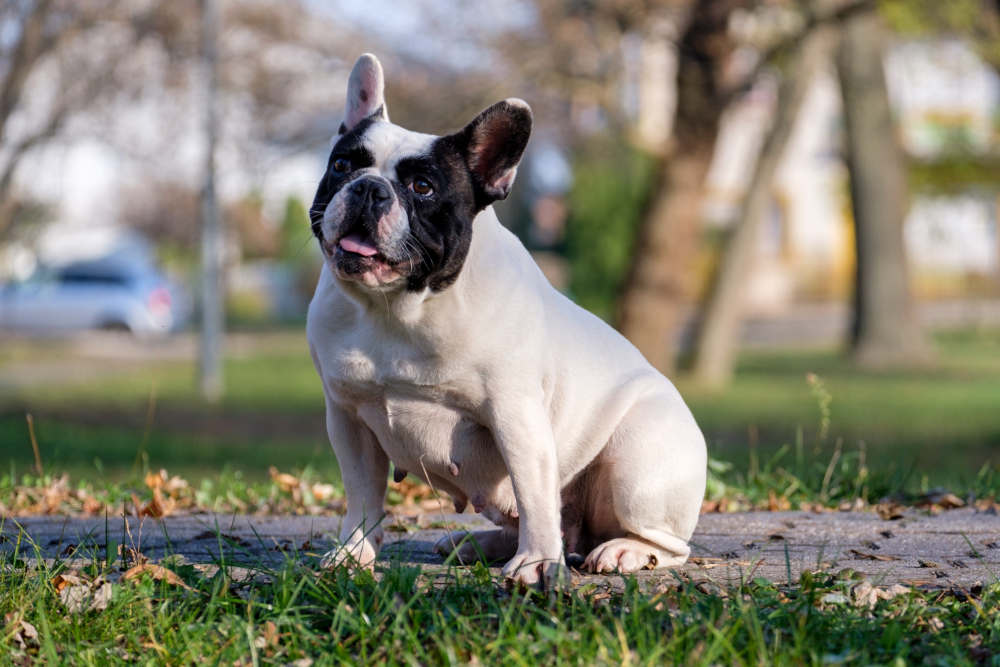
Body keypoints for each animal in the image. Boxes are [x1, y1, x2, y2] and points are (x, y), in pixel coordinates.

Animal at [308, 54, 708, 588]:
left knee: (663, 543)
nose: (369, 188)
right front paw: (355, 553)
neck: (395, 309)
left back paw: (622, 550)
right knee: (546, 522)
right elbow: (362, 495)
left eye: (422, 187)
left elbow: (534, 493)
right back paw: (478, 544)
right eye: (342, 165)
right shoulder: (348, 417)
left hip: (636, 467)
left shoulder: (515, 415)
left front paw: (537, 563)